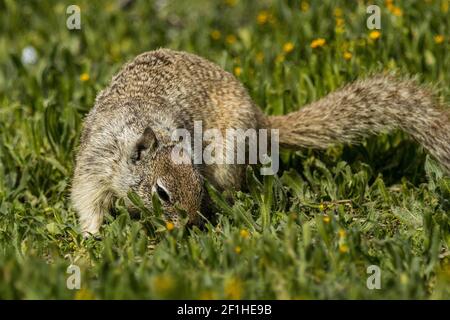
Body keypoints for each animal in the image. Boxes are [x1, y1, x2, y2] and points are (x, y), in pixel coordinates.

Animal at [72, 48, 448, 236]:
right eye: (161, 194)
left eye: (197, 183)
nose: (191, 223)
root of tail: (259, 117)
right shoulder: (96, 164)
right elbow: (87, 200)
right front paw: (92, 236)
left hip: (227, 158)